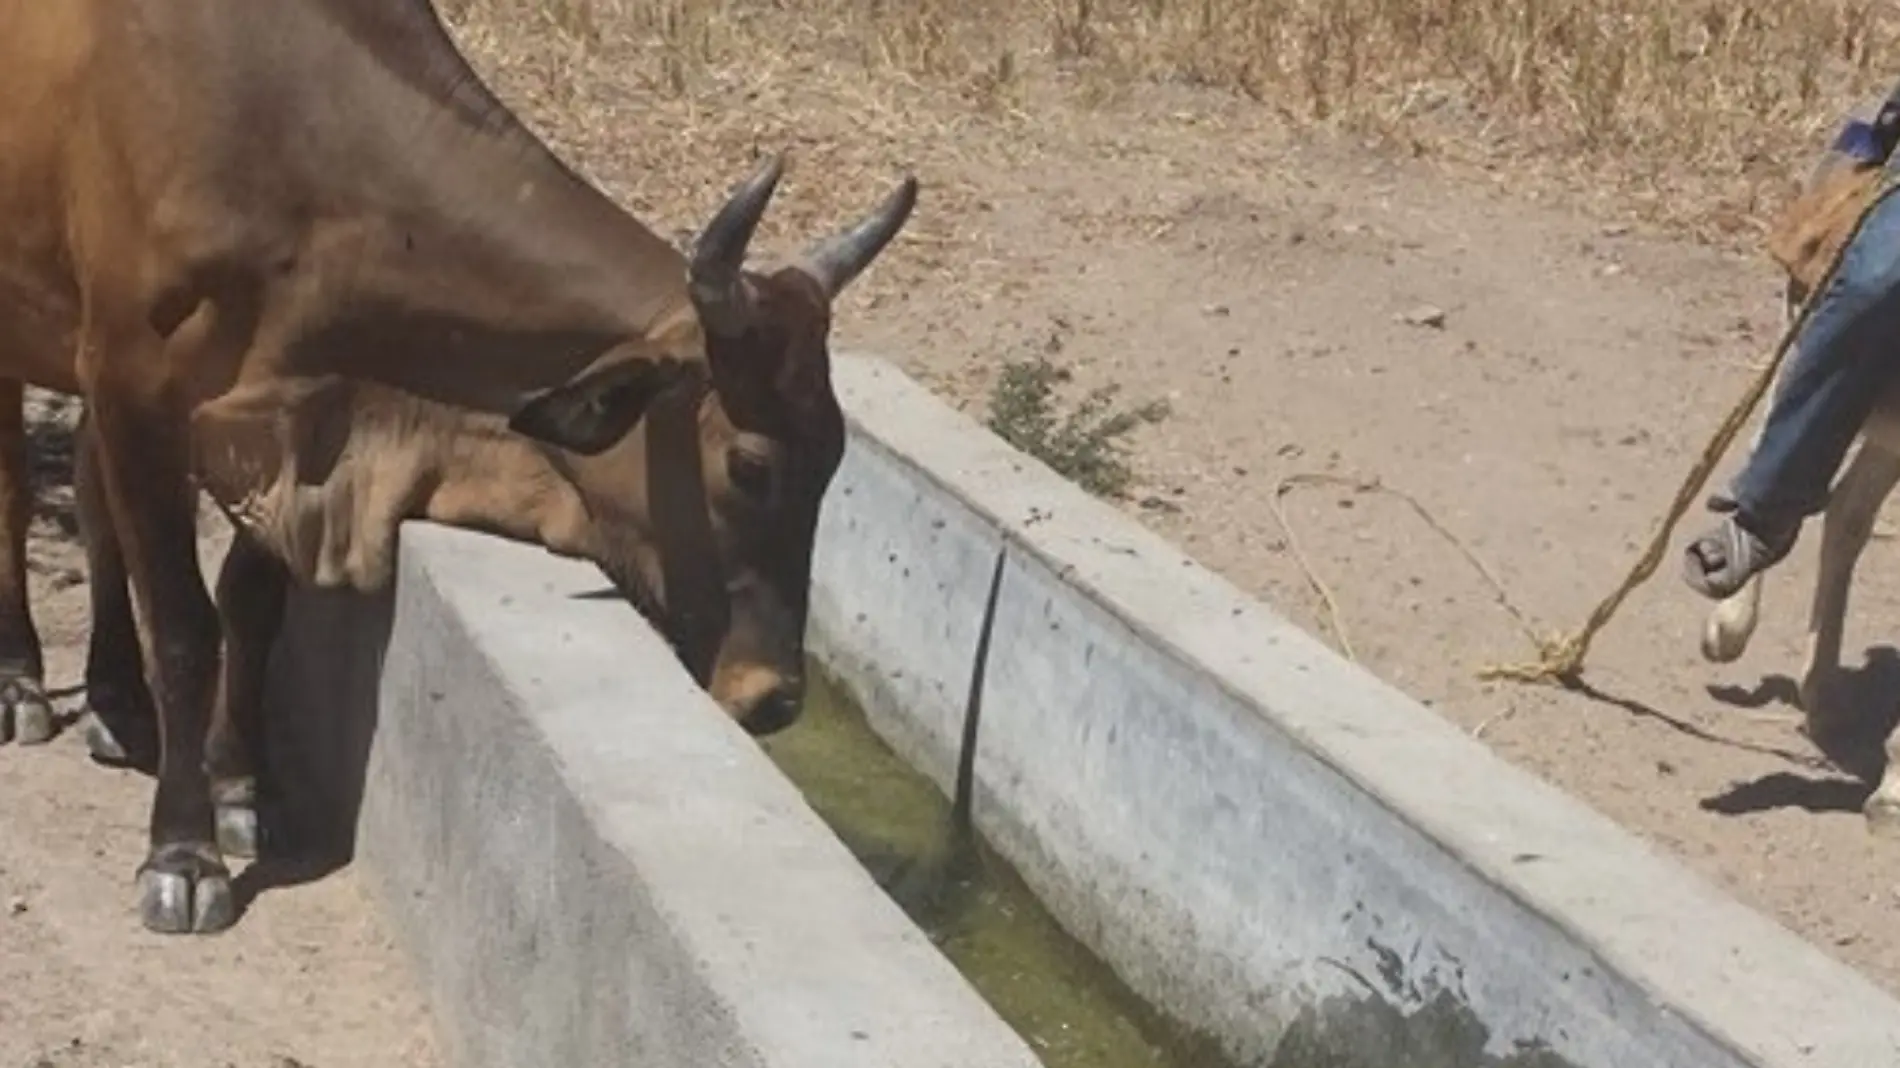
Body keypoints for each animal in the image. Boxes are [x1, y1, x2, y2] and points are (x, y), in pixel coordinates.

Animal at [0, 0, 912, 931]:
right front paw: (183, 854)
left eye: (837, 457)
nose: (775, 695)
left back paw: (115, 703)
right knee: (17, 491)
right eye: (749, 465)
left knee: (88, 499)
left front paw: (242, 789)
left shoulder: (291, 408)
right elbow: (186, 629)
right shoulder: (133, 379)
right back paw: (23, 685)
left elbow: (250, 604)